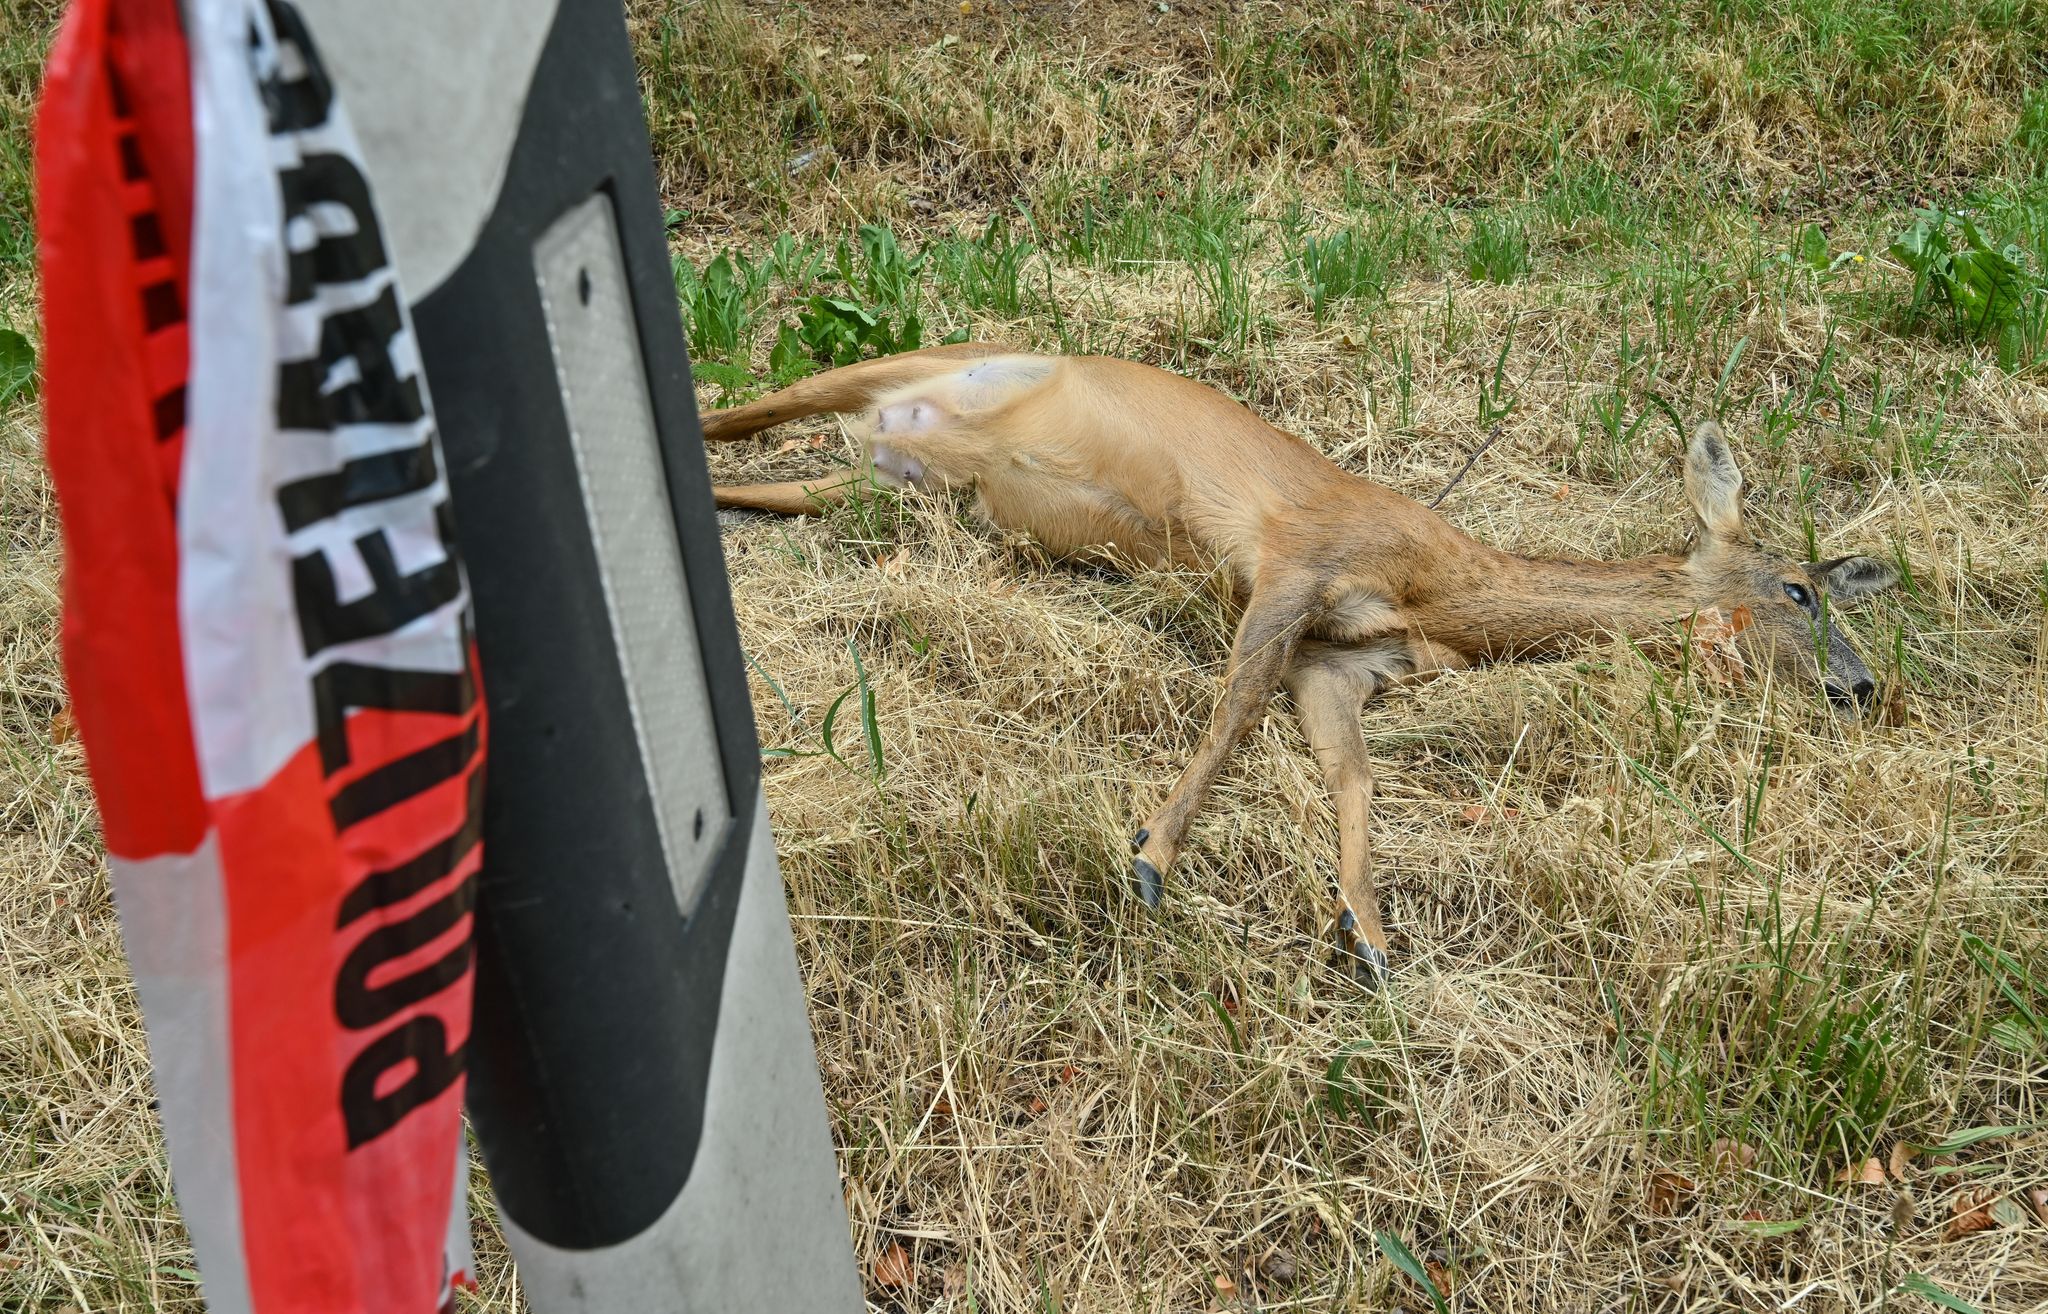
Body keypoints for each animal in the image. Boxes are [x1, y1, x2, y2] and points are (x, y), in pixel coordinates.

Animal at [701, 342, 1901, 986]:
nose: (1862, 686)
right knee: (739, 407)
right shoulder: (1295, 562)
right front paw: (1150, 857)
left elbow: (1352, 774)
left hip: (884, 487)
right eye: (1797, 590)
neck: (1439, 592)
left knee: (757, 481)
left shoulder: (1338, 664)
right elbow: (1230, 712)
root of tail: (892, 428)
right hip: (905, 369)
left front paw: (1365, 929)